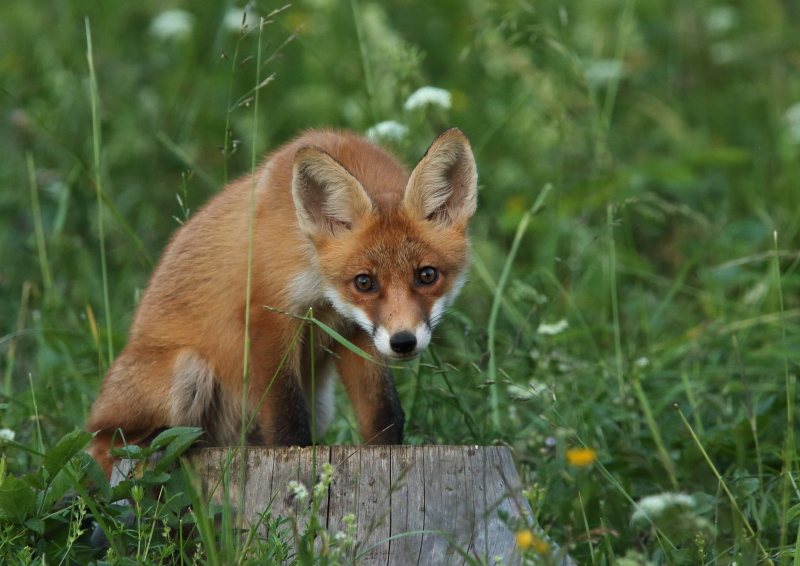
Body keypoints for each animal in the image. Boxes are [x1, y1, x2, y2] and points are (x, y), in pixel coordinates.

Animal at [86, 127, 476, 480]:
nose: (403, 342)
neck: (320, 282)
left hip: (319, 403)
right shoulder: (269, 314)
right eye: (364, 282)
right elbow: (286, 421)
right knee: (114, 448)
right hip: (184, 372)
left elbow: (383, 414)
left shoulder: (356, 329)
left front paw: (385, 454)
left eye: (427, 275)